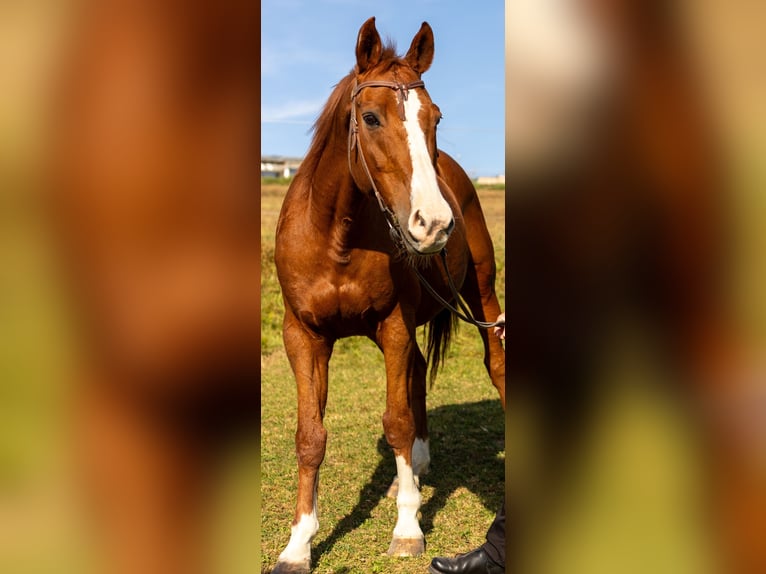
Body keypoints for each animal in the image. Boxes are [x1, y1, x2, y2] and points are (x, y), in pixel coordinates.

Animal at [272, 15, 508, 572]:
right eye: (371, 118)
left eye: (435, 118)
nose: (435, 223)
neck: (335, 236)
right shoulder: (303, 335)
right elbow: (310, 436)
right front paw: (298, 544)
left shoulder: (393, 325)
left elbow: (396, 421)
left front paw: (407, 529)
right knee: (419, 372)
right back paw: (417, 468)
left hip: (482, 292)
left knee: (495, 363)